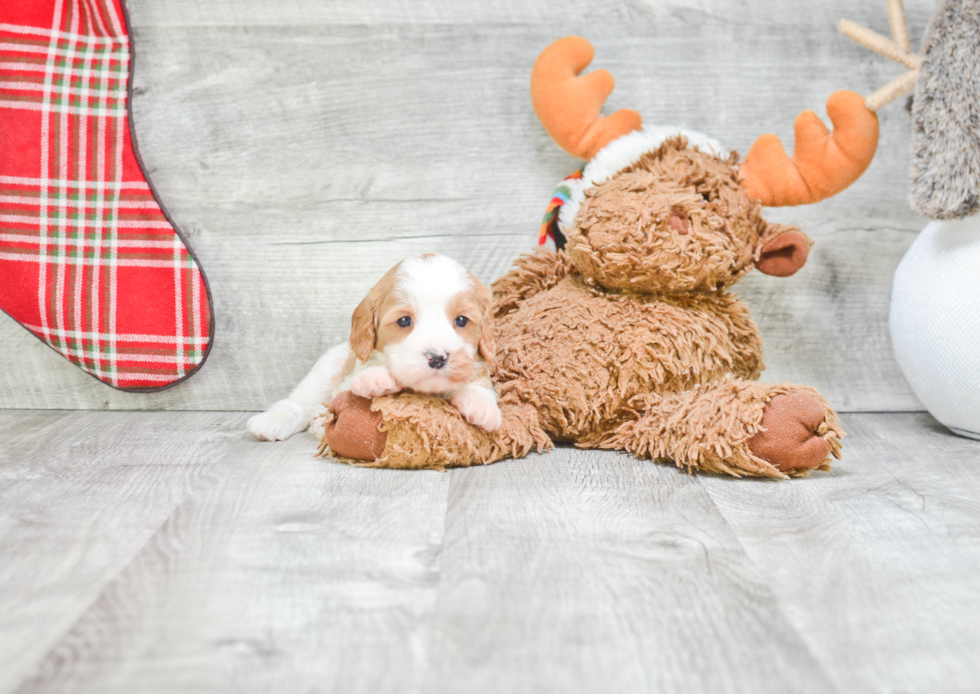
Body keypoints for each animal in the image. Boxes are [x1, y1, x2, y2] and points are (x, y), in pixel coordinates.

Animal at [249, 253, 502, 444]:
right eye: (404, 321)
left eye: (461, 320)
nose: (437, 358)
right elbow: (363, 372)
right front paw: (375, 376)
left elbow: (479, 380)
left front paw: (480, 403)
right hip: (327, 366)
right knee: (299, 403)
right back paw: (274, 421)